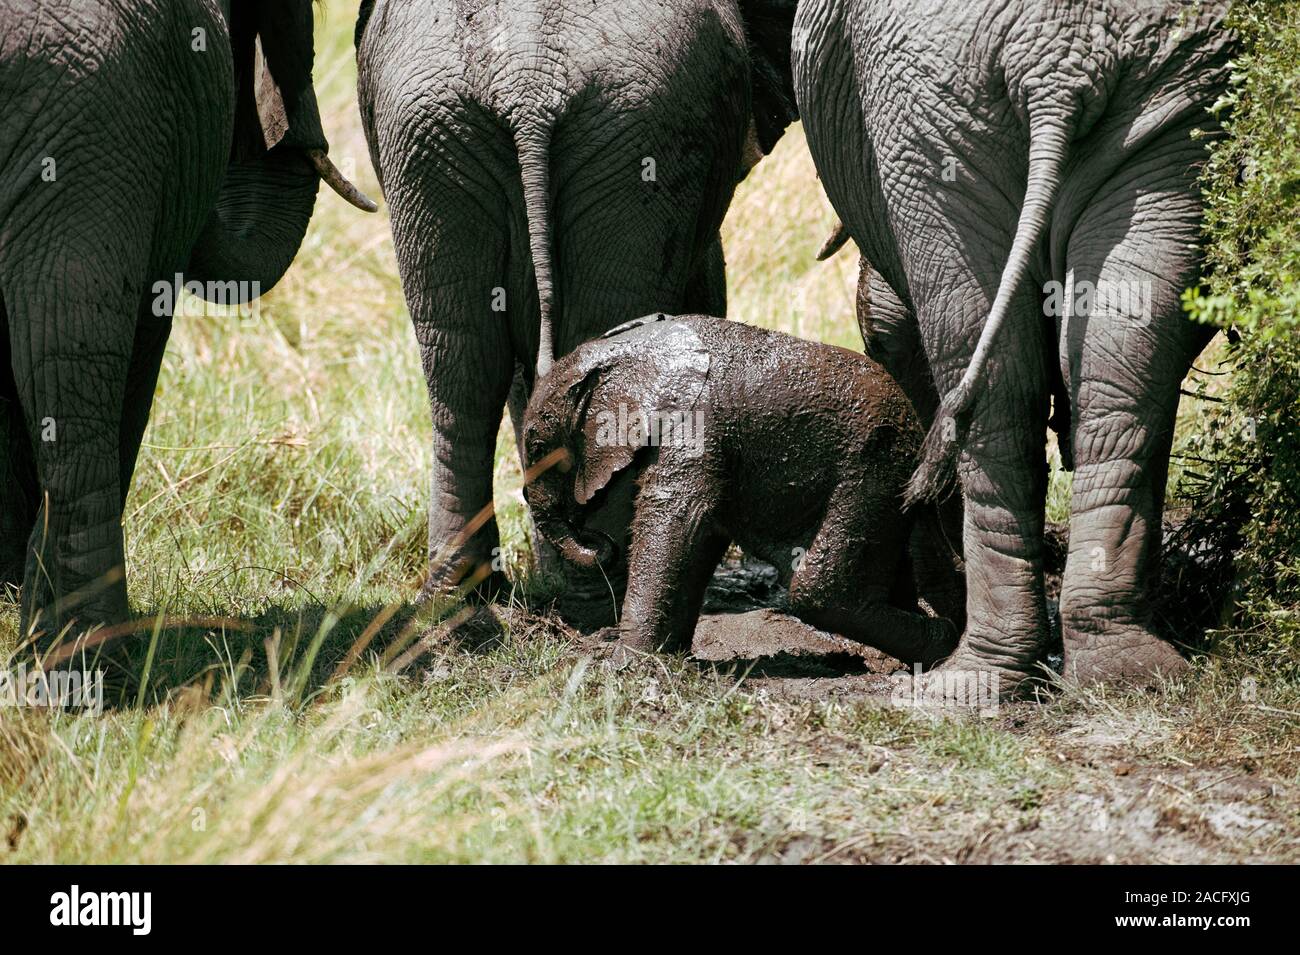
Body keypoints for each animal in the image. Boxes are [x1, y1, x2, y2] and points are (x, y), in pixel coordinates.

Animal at [354, 0, 800, 611]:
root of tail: (526, 82)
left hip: (443, 140)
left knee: (463, 366)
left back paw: (468, 595)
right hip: (603, 134)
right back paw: (595, 590)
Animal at [522, 313, 965, 665]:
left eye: (538, 447)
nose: (601, 541)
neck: (624, 350)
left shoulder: (697, 425)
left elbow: (677, 516)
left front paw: (623, 666)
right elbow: (700, 534)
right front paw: (670, 660)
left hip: (873, 462)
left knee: (817, 587)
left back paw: (941, 644)